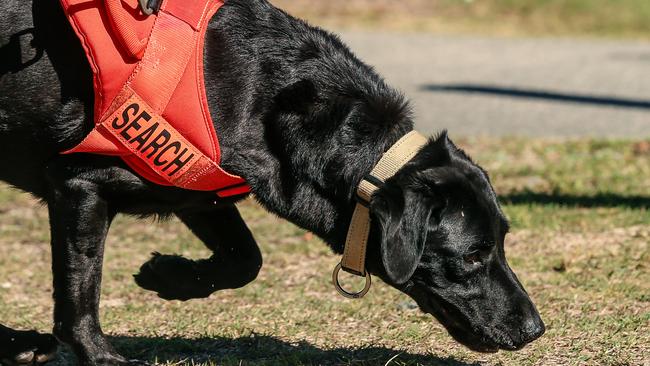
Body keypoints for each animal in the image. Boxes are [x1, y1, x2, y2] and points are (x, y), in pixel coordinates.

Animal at [0, 0, 544, 364]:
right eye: (472, 256)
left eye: (503, 243)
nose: (535, 328)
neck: (265, 97)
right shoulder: (79, 185)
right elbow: (80, 292)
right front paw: (98, 354)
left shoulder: (199, 188)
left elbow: (246, 259)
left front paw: (169, 276)